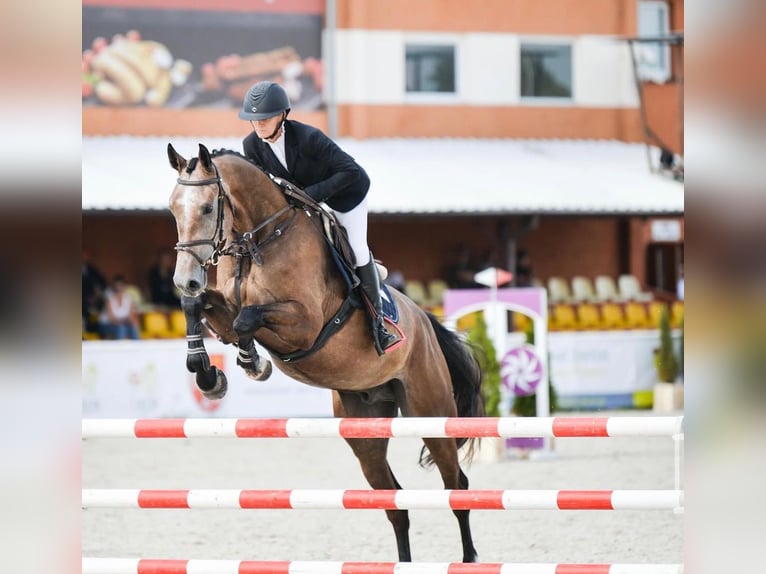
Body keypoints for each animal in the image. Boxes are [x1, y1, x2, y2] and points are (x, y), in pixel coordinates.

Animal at [166, 143, 486, 564]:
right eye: (172, 208)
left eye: (206, 208)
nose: (185, 278)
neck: (262, 239)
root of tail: (424, 319)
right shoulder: (223, 305)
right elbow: (199, 307)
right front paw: (210, 375)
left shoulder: (305, 324)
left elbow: (247, 318)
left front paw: (253, 363)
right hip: (365, 428)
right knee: (395, 504)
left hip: (431, 414)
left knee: (457, 485)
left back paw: (468, 559)